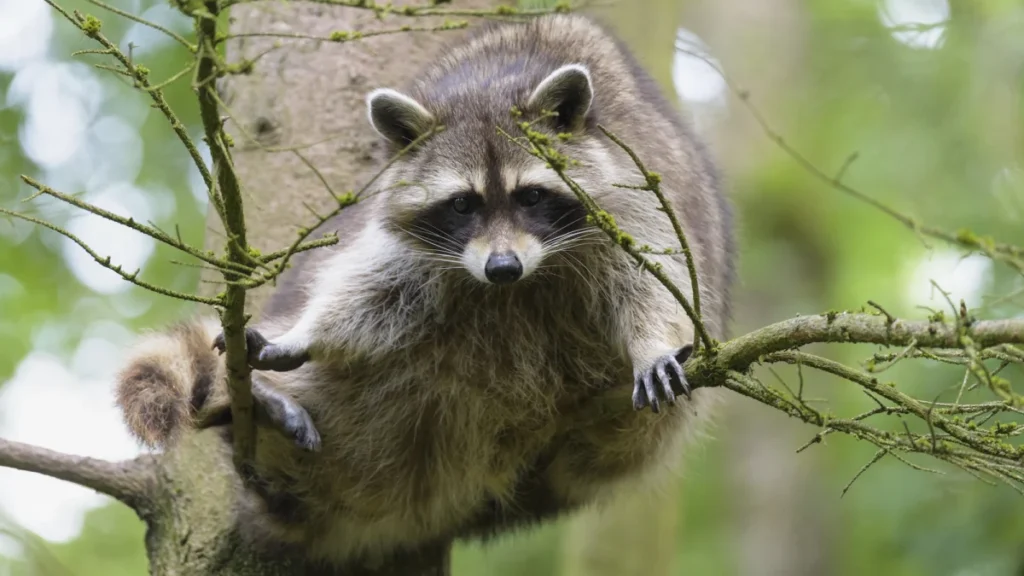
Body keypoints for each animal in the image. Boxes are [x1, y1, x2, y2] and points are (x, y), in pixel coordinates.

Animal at [115, 13, 735, 567]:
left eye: (532, 196)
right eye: (462, 204)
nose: (503, 268)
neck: (492, 83)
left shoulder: (631, 193)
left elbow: (650, 279)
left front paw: (651, 343)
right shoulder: (418, 241)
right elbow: (375, 287)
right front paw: (305, 335)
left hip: (621, 442)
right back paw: (251, 406)